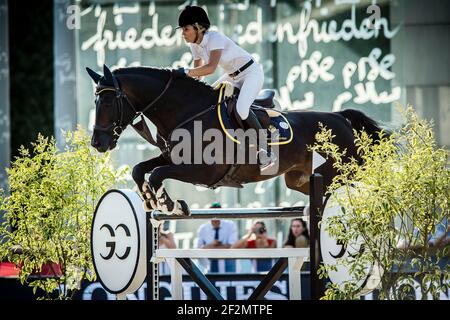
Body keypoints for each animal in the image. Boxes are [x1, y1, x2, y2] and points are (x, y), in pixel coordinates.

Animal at [88, 64, 386, 215]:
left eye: (107, 102)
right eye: (96, 101)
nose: (97, 143)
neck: (186, 111)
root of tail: (340, 117)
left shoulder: (203, 171)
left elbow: (158, 173)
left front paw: (172, 205)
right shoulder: (172, 156)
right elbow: (141, 170)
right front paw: (151, 201)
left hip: (342, 169)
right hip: (298, 179)